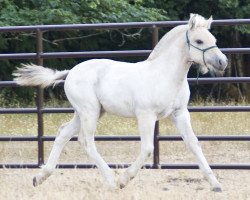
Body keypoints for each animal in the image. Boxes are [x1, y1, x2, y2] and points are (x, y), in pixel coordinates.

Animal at [13, 14, 227, 192]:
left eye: (214, 40)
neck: (164, 75)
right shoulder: (146, 115)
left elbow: (193, 143)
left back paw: (40, 177)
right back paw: (112, 180)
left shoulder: (180, 113)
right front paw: (125, 179)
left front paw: (216, 184)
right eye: (199, 41)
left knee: (63, 133)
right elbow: (147, 148)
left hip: (87, 112)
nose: (222, 62)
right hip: (89, 111)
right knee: (86, 141)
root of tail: (70, 72)